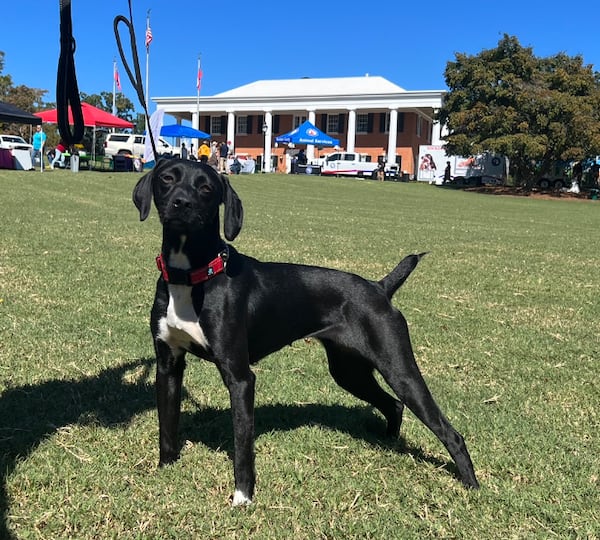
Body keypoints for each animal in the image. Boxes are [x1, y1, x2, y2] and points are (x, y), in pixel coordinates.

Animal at [132, 158, 478, 504]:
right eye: (167, 179)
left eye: (206, 188)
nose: (181, 203)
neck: (192, 276)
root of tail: (380, 288)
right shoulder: (168, 364)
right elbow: (167, 425)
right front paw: (165, 468)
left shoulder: (239, 376)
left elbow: (242, 442)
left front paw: (243, 496)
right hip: (349, 370)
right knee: (393, 404)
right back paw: (389, 443)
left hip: (399, 368)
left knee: (450, 432)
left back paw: (471, 484)